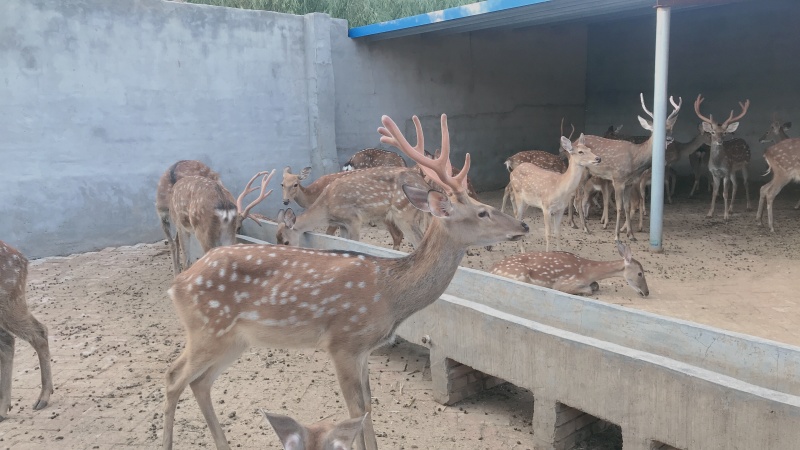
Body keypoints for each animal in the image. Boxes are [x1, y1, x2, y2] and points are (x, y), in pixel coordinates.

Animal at [160, 113, 530, 450]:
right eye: (482, 212)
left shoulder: (364, 349)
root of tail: (177, 286)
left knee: (200, 382)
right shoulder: (343, 342)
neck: (389, 296)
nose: (523, 226)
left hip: (235, 339)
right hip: (208, 329)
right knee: (173, 376)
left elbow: (367, 408)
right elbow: (356, 410)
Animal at [490, 242, 648, 297]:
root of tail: (491, 270)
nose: (646, 292)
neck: (587, 272)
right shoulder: (564, 282)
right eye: (640, 273)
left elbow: (596, 285)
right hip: (519, 274)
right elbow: (589, 289)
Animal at [583, 94, 682, 241]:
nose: (670, 139)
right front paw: (617, 235)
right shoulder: (618, 179)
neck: (636, 160)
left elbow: (627, 206)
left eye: (670, 128)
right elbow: (619, 207)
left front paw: (631, 235)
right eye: (656, 129)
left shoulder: (630, 182)